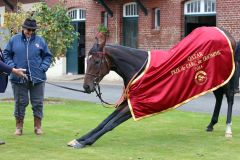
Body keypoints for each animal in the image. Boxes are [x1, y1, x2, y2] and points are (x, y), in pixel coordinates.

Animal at [67, 27, 236, 149]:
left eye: (96, 61)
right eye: (87, 60)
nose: (86, 86)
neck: (137, 68)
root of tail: (226, 34)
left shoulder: (136, 105)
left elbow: (110, 124)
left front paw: (85, 142)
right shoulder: (129, 102)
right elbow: (104, 122)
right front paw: (80, 139)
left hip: (226, 76)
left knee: (229, 97)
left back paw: (228, 130)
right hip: (215, 79)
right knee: (219, 97)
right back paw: (211, 125)